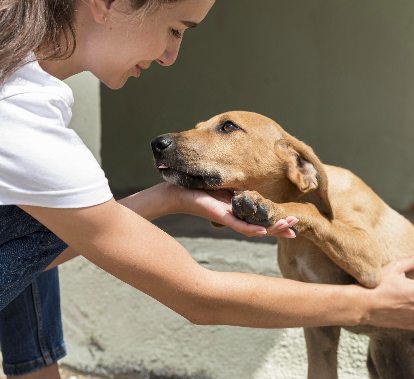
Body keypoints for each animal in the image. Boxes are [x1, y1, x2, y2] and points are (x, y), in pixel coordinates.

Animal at [151, 111, 414, 378]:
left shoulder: (370, 262)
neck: (304, 242)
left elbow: (305, 209)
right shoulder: (319, 321)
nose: (157, 143)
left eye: (228, 126)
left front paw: (269, 207)